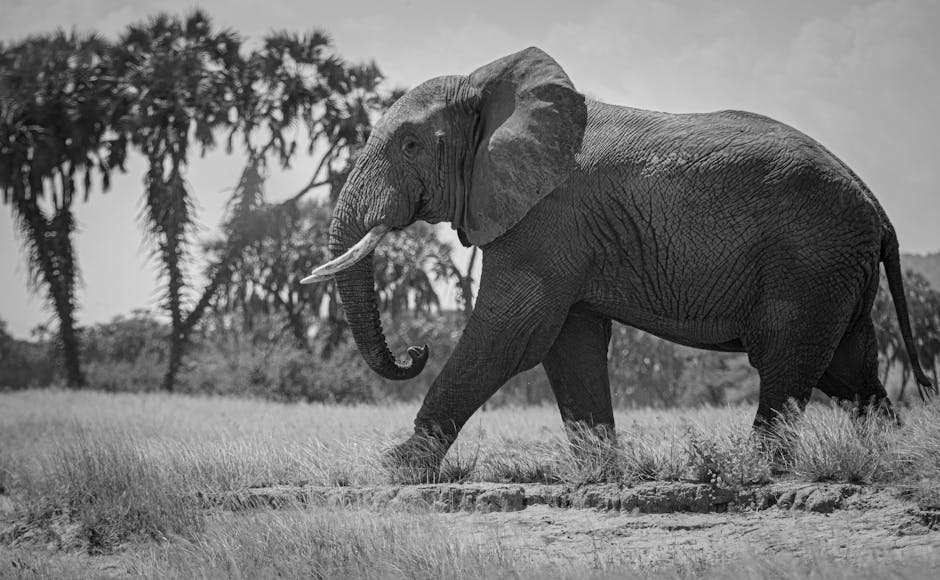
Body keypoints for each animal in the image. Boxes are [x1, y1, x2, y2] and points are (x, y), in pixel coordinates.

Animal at [302, 47, 934, 470]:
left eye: (410, 146)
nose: (415, 350)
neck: (488, 88)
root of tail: (878, 207)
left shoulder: (547, 219)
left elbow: (510, 334)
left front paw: (392, 468)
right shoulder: (564, 238)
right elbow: (569, 344)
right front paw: (601, 472)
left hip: (810, 261)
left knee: (787, 359)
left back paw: (756, 471)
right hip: (837, 269)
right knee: (852, 371)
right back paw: (891, 458)